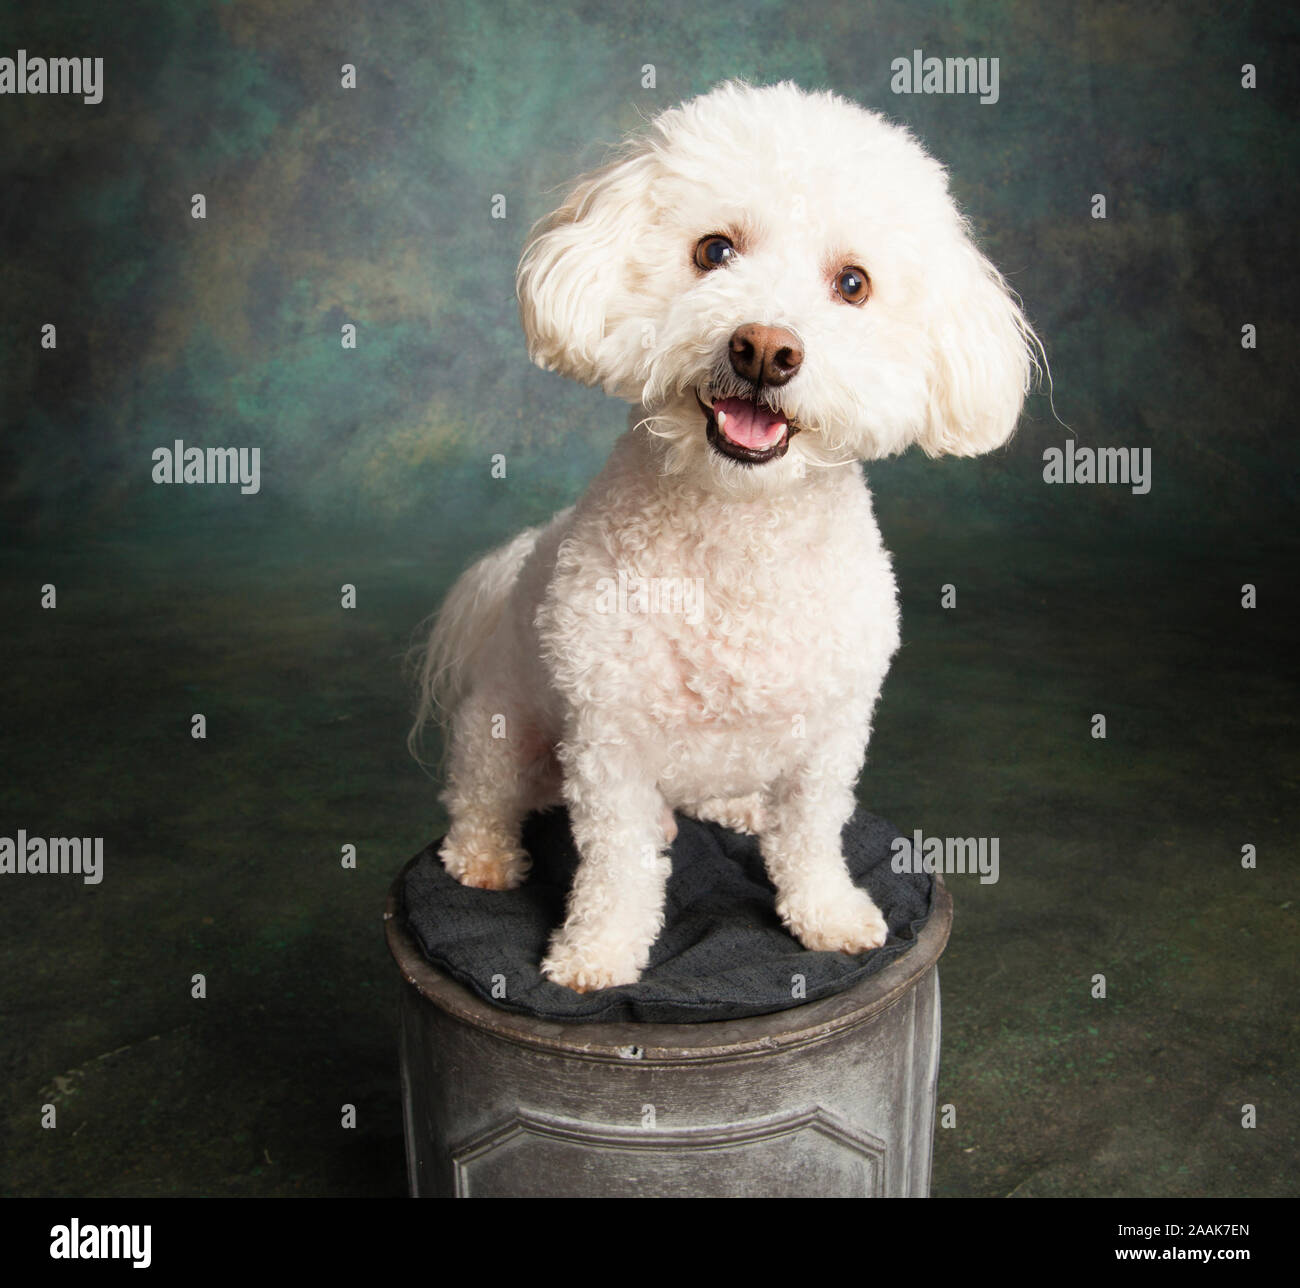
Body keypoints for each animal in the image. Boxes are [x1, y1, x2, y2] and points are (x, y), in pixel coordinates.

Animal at [413, 80, 1034, 992]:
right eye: (714, 251)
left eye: (853, 283)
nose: (764, 349)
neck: (740, 533)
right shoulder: (608, 740)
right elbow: (617, 862)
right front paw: (597, 951)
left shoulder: (834, 735)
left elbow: (813, 833)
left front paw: (828, 913)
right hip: (502, 725)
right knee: (483, 794)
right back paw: (485, 857)